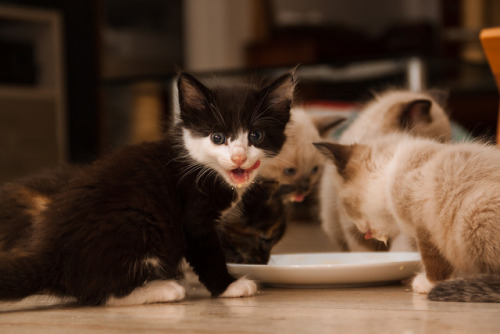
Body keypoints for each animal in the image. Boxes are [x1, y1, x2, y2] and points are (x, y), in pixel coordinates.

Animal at [0, 70, 294, 306]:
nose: (238, 157)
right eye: (217, 137)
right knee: (104, 294)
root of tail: (51, 254)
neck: (200, 165)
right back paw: (164, 289)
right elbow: (207, 252)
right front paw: (228, 287)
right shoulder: (194, 215)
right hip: (135, 221)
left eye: (255, 135)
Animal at [314, 134, 500, 302]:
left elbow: (433, 261)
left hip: (473, 212)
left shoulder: (425, 226)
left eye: (346, 207)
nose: (362, 231)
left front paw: (429, 283)